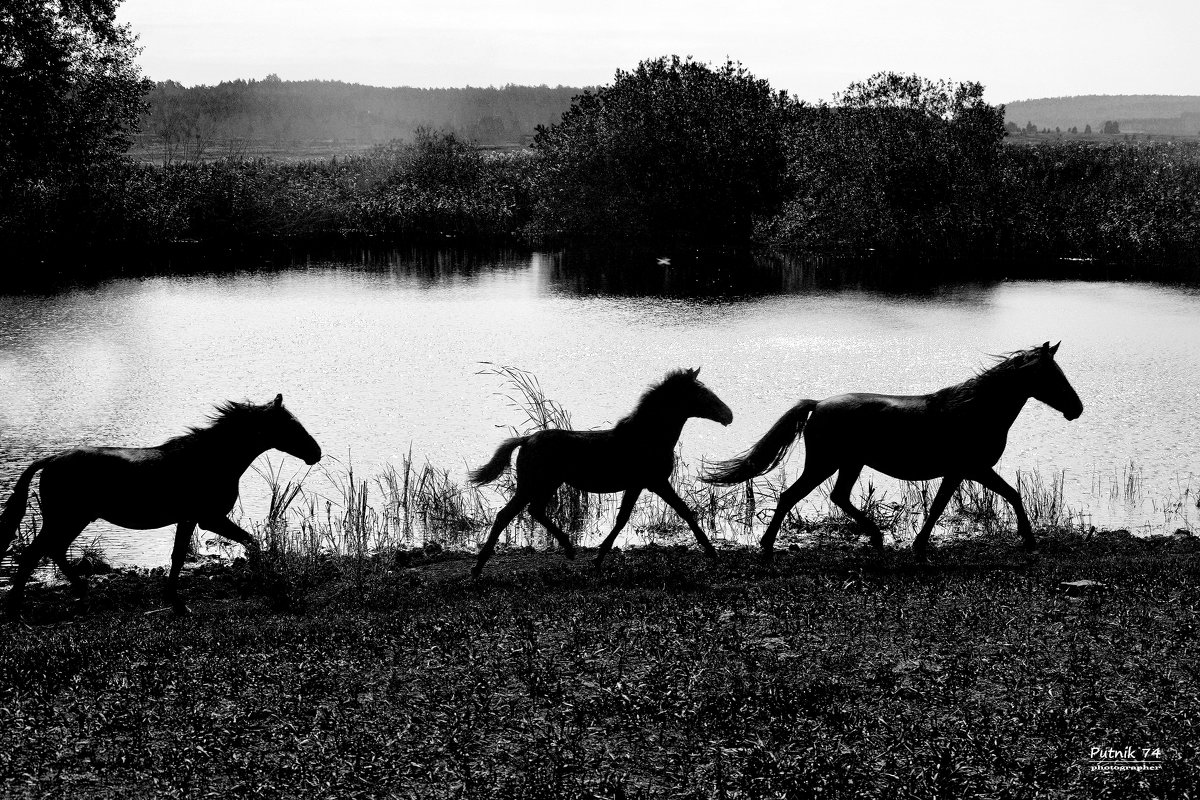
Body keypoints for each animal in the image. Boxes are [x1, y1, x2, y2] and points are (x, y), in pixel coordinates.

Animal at [0, 398, 321, 618]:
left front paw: (177, 603)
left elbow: (179, 557)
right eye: (289, 425)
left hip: (74, 519)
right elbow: (250, 542)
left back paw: (82, 594)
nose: (315, 452)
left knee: (53, 551)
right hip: (64, 518)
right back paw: (17, 607)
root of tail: (52, 460)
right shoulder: (208, 518)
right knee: (34, 554)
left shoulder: (190, 520)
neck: (210, 459)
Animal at [465, 367, 729, 578]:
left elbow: (623, 519)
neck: (647, 437)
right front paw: (712, 552)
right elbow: (684, 512)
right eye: (702, 393)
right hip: (535, 484)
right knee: (509, 515)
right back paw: (481, 567)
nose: (729, 415)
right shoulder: (655, 482)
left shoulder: (638, 485)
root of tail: (526, 439)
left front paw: (598, 558)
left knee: (531, 512)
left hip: (544, 484)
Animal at [700, 345, 1089, 563]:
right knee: (791, 496)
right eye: (1052, 375)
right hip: (827, 463)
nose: (1077, 409)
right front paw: (1029, 539)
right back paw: (768, 545)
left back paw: (874, 537)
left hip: (848, 464)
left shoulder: (959, 472)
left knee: (838, 497)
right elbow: (1011, 495)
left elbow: (940, 506)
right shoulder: (973, 468)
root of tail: (818, 404)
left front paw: (919, 545)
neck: (975, 409)